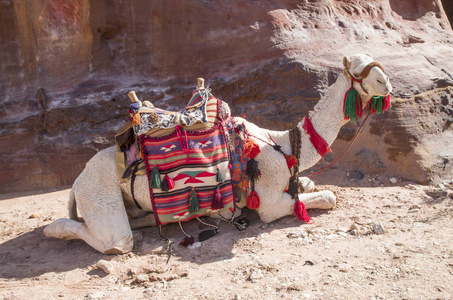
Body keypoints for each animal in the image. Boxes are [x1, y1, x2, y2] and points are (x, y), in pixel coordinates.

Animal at [45, 53, 392, 253]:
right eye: (357, 71)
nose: (386, 81)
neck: (281, 143)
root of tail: (76, 182)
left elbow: (309, 185)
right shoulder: (269, 201)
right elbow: (325, 197)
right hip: (98, 193)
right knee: (115, 242)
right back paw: (55, 230)